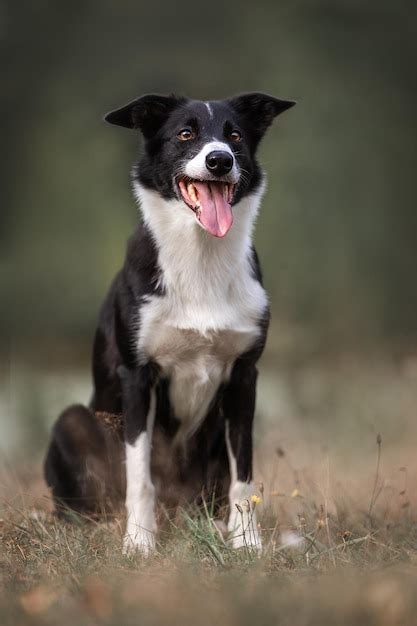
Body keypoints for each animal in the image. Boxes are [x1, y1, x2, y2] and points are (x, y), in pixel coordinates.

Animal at [44, 91, 294, 552]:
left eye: (235, 135)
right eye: (185, 134)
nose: (220, 160)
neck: (200, 257)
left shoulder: (245, 375)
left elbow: (244, 476)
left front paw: (246, 543)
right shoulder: (138, 375)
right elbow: (140, 476)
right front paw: (139, 544)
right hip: (71, 423)